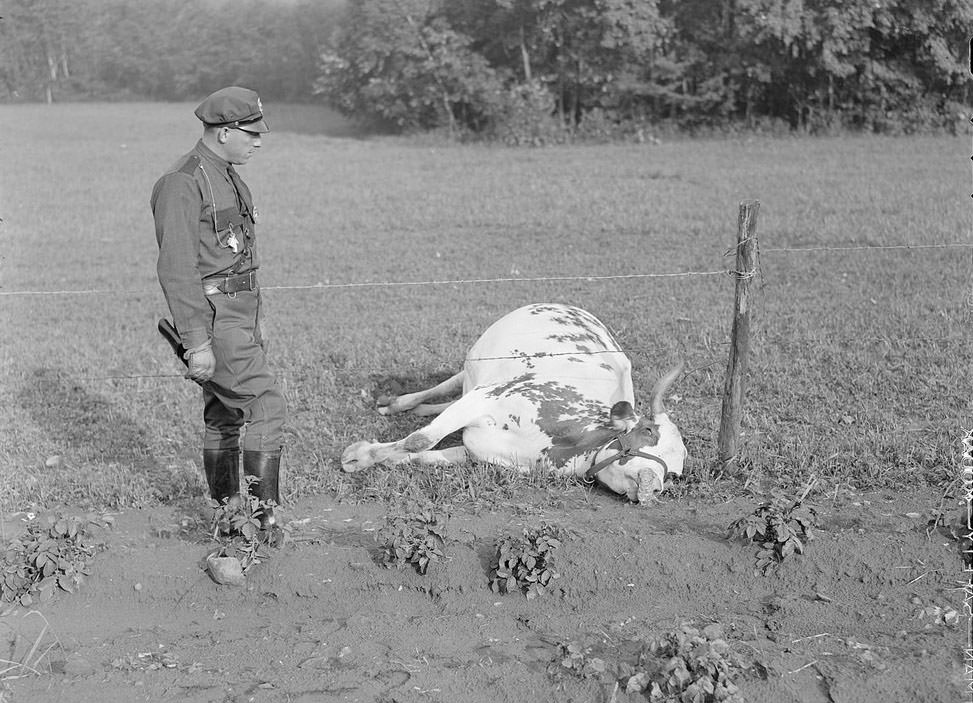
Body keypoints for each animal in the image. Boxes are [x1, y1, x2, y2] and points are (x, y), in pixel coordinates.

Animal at [338, 306, 688, 504]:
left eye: (674, 474)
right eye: (647, 431)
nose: (653, 487)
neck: (562, 439)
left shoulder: (483, 450)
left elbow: (425, 454)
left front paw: (386, 459)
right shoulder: (486, 396)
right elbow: (420, 440)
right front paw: (360, 456)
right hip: (476, 364)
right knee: (447, 385)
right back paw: (397, 403)